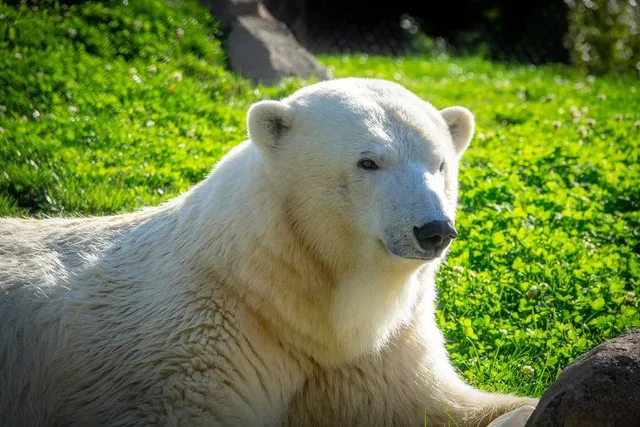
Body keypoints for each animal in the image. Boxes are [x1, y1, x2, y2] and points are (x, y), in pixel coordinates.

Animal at [0, 77, 537, 427]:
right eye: (368, 162)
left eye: (440, 164)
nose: (434, 230)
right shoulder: (198, 346)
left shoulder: (377, 354)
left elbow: (441, 403)